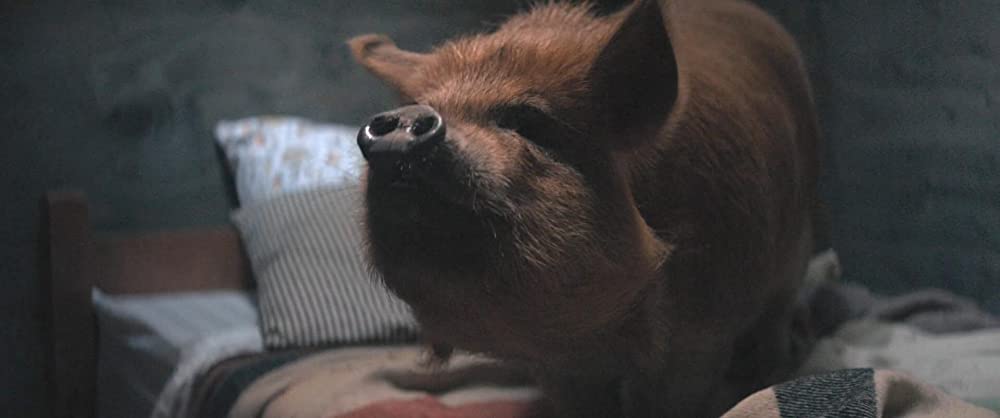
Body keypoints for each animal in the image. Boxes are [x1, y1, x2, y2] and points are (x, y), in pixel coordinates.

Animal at [348, 0, 820, 416]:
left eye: (528, 122)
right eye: (432, 104)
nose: (408, 116)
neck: (598, 335)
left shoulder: (701, 337)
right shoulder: (559, 367)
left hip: (794, 249)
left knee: (777, 314)